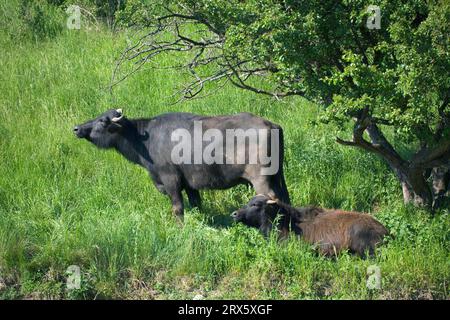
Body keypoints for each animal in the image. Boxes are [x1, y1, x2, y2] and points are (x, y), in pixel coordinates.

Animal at [74, 109, 290, 219]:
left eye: (103, 121)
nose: (77, 128)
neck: (146, 140)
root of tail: (271, 125)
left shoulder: (171, 180)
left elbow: (178, 207)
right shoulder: (190, 184)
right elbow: (196, 204)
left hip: (261, 179)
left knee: (271, 198)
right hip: (278, 176)